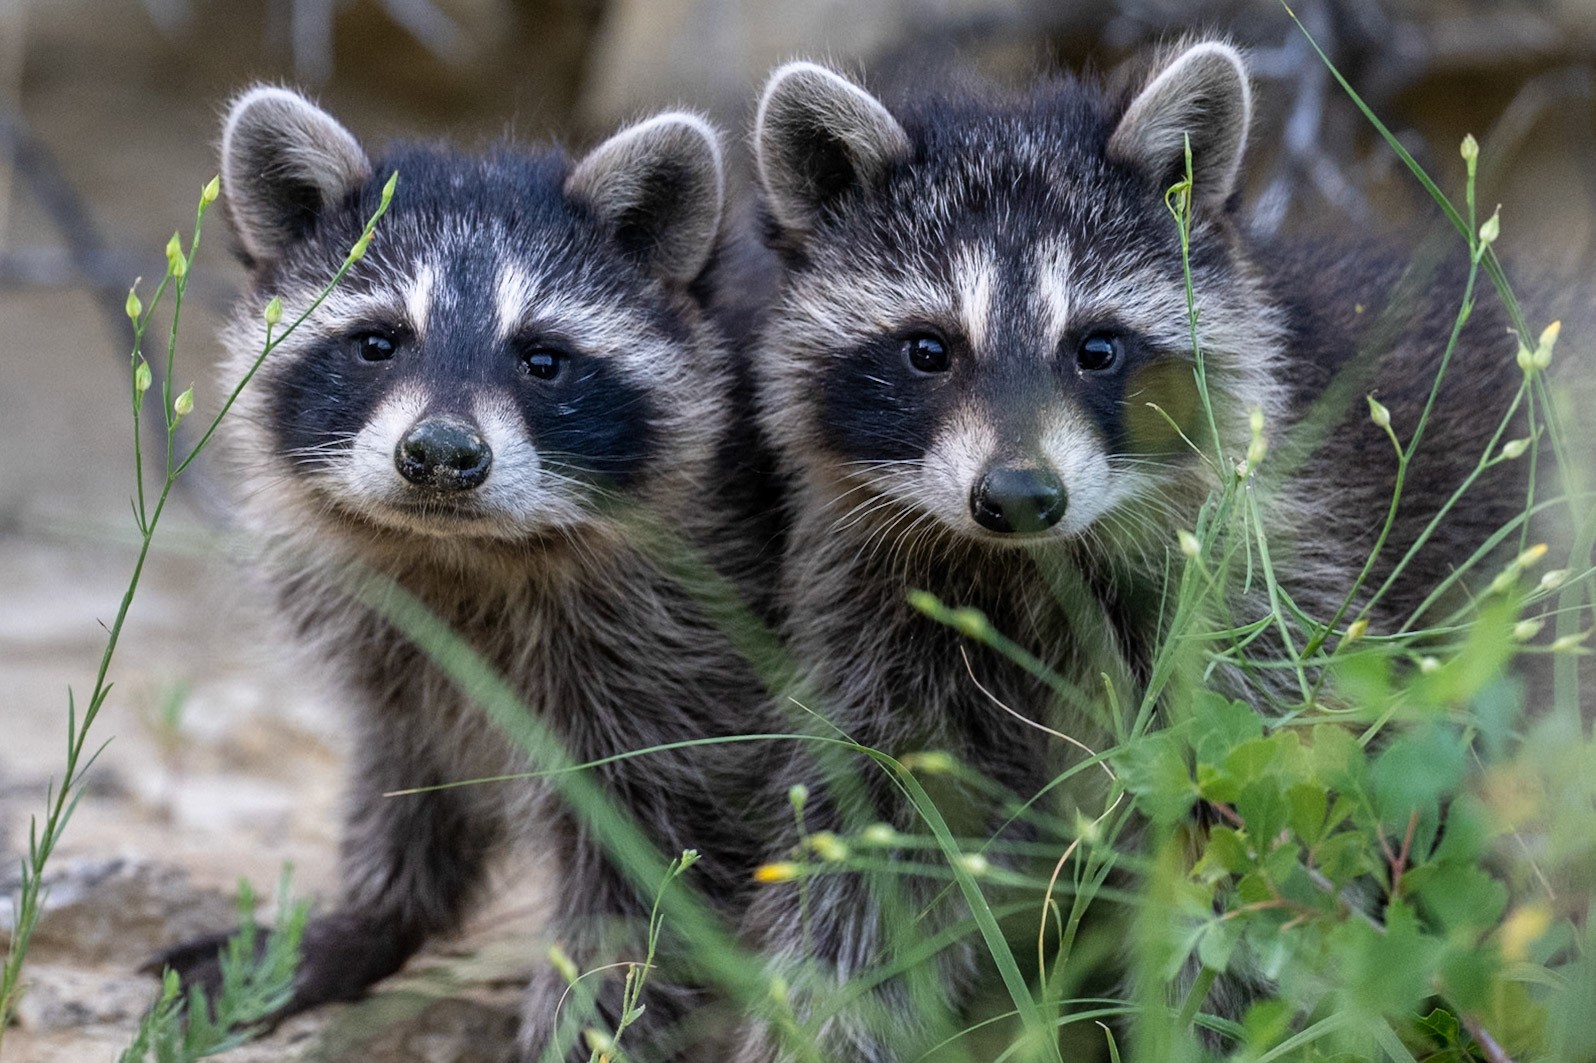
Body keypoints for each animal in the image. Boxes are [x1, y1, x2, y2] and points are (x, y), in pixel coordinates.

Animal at [155, 88, 777, 1060]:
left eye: (543, 358)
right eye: (377, 342)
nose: (441, 454)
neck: (461, 553)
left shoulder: (697, 637)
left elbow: (655, 855)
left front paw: (589, 1016)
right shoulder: (396, 636)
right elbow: (409, 764)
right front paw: (373, 916)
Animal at [735, 42, 1530, 1059]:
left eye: (1098, 348)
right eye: (928, 350)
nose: (1019, 496)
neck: (1030, 570)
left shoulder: (1260, 590)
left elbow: (1257, 862)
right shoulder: (875, 623)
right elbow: (868, 860)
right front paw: (820, 1022)